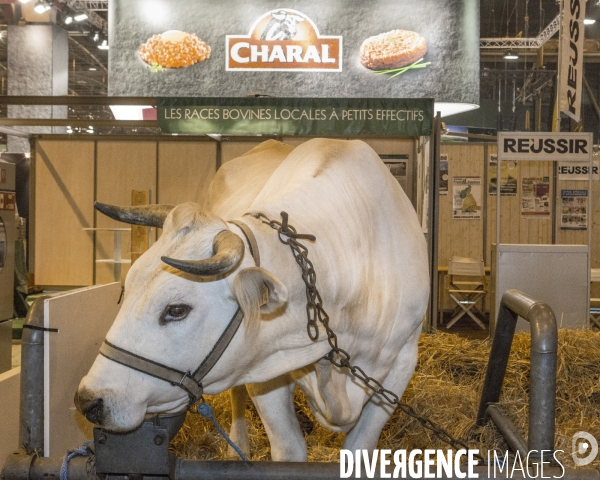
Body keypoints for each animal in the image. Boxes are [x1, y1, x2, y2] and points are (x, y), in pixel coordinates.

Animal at [75, 139, 428, 462]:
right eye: (125, 291)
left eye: (176, 310)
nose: (88, 399)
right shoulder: (263, 368)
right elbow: (289, 450)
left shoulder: (401, 363)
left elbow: (359, 448)